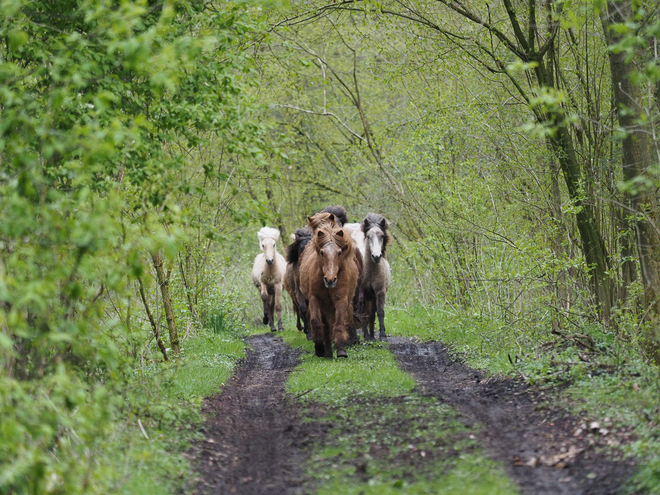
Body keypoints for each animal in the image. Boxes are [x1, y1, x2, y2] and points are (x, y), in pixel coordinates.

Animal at [300, 226, 358, 360]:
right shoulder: (315, 299)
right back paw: (326, 351)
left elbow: (339, 323)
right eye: (322, 252)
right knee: (325, 326)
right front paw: (319, 348)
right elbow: (316, 322)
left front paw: (341, 350)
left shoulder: (341, 300)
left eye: (339, 253)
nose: (330, 280)